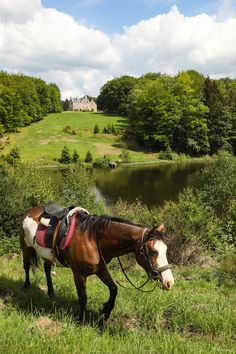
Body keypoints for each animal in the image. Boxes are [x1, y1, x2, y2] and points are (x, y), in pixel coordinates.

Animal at [20, 206, 174, 322]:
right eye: (153, 252)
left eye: (165, 250)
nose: (169, 282)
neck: (93, 239)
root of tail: (30, 211)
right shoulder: (79, 274)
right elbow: (83, 297)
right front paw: (81, 321)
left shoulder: (101, 270)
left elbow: (114, 289)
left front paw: (105, 312)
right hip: (26, 248)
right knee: (26, 267)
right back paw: (26, 287)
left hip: (47, 256)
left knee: (47, 269)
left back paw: (51, 292)